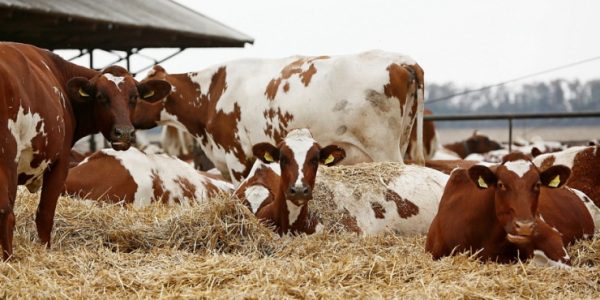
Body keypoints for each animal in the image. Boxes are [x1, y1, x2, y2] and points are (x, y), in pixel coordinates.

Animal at [0, 42, 171, 260]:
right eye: (100, 97)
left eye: (134, 97)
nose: (124, 133)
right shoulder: (60, 161)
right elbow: (45, 214)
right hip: (7, 158)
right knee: (6, 213)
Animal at [131, 49, 424, 185]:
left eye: (139, 92)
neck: (213, 91)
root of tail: (402, 60)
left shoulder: (237, 155)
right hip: (402, 140)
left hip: (384, 148)